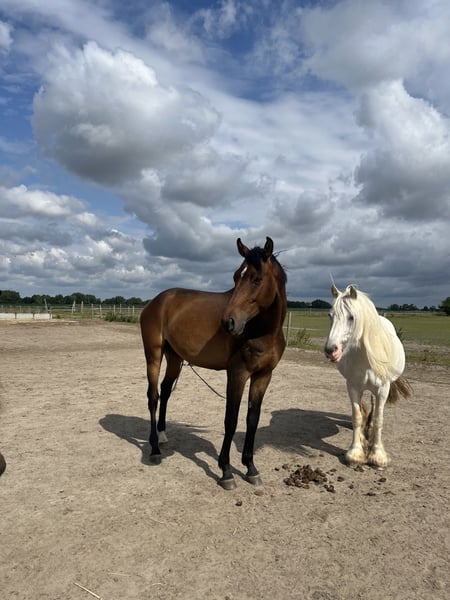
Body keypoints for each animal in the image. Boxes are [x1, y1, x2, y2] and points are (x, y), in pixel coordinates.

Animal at [140, 237, 287, 490]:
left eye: (256, 279)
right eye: (236, 276)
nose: (228, 322)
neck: (261, 331)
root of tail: (156, 301)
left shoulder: (263, 375)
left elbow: (252, 419)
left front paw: (250, 468)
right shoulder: (237, 374)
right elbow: (231, 420)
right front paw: (226, 470)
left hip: (174, 358)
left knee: (166, 391)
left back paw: (163, 435)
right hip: (154, 355)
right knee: (153, 396)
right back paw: (155, 449)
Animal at [324, 284, 412, 468]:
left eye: (351, 317)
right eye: (330, 315)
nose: (330, 350)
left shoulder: (383, 389)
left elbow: (379, 418)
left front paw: (377, 455)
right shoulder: (353, 387)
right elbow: (357, 417)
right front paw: (355, 453)